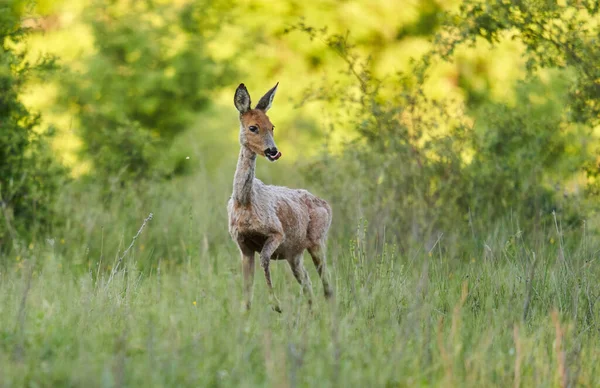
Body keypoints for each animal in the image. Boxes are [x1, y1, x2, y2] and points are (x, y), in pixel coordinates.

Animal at [229, 82, 336, 312]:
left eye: (272, 126)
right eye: (253, 127)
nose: (273, 151)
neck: (245, 203)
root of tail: (326, 205)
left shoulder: (276, 232)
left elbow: (265, 260)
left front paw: (275, 304)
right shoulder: (243, 244)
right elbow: (247, 289)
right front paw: (247, 313)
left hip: (317, 240)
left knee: (327, 283)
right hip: (295, 254)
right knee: (308, 284)